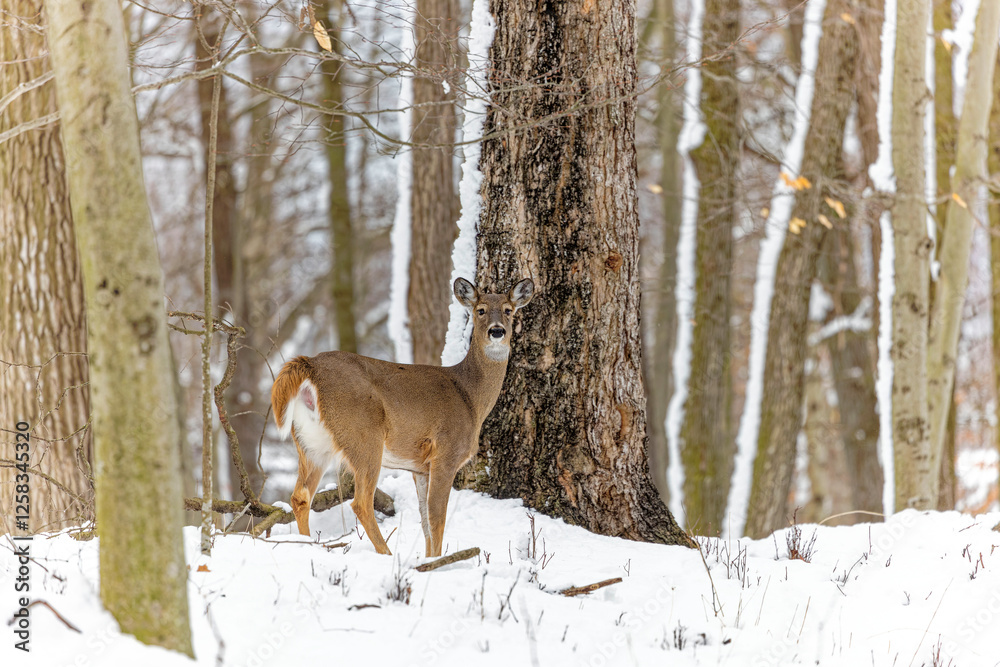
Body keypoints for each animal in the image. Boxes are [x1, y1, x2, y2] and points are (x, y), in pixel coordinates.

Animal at [270, 277, 534, 557]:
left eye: (508, 310)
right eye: (480, 310)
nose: (497, 331)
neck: (470, 397)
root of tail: (311, 364)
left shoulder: (420, 468)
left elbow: (425, 520)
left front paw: (428, 559)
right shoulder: (446, 453)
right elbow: (437, 516)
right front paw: (438, 562)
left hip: (310, 441)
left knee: (300, 497)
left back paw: (307, 544)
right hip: (364, 435)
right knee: (361, 502)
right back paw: (385, 554)